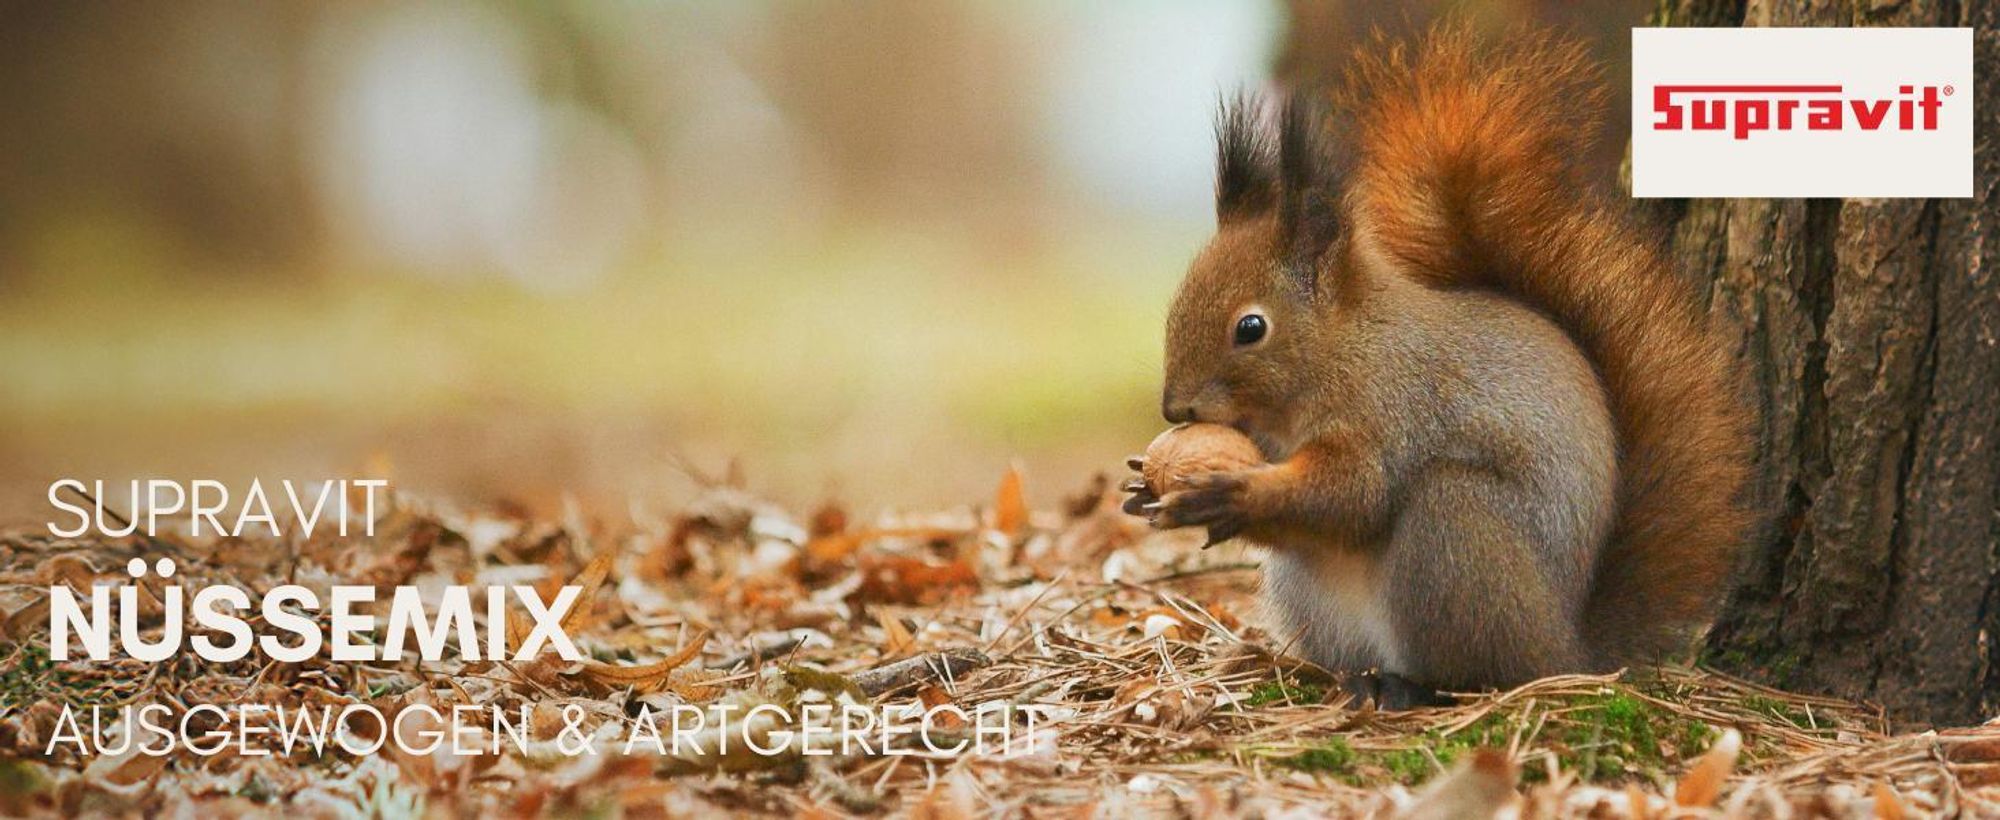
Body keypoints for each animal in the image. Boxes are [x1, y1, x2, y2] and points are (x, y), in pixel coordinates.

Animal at [1122, 26, 1753, 709]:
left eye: (1250, 328)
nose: (1174, 408)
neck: (1342, 350)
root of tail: (1570, 648)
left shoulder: (1391, 409)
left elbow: (1355, 494)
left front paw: (1232, 492)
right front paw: (1146, 488)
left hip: (1456, 536)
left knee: (1482, 666)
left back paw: (1414, 686)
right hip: (1316, 595)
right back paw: (1357, 679)